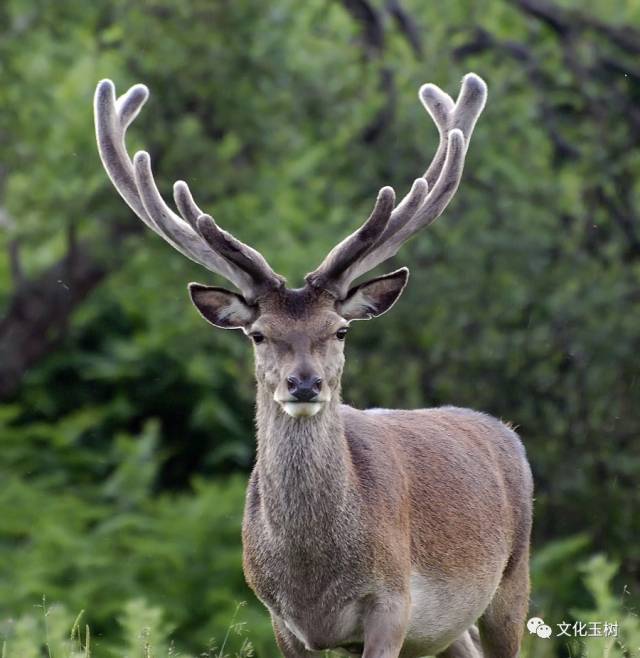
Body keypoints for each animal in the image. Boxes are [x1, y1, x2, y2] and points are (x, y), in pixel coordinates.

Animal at [95, 72, 532, 656]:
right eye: (258, 334)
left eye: (340, 330)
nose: (304, 383)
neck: (312, 577)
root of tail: (506, 432)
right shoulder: (282, 620)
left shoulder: (392, 602)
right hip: (447, 628)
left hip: (511, 579)